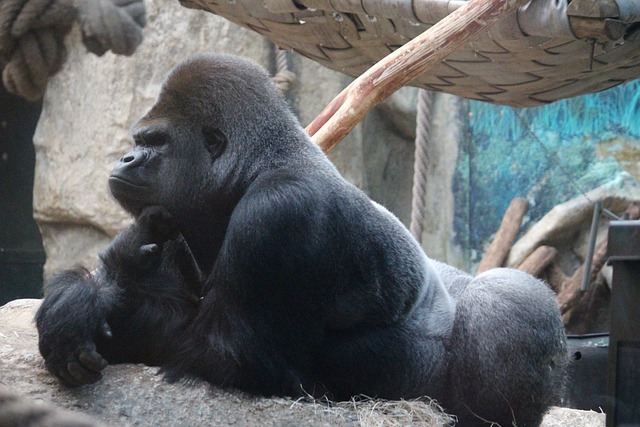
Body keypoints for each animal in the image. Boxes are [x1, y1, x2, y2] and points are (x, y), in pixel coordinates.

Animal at [35, 54, 568, 427]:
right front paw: (77, 303)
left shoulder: (278, 213)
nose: (126, 158)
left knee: (503, 299)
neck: (252, 170)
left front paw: (115, 281)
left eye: (156, 142)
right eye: (139, 140)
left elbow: (220, 352)